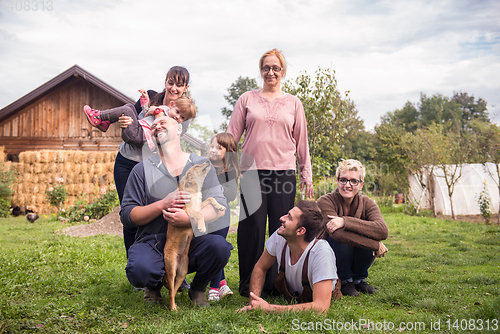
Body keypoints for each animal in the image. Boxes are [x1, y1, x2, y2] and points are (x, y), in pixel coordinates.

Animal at [163, 160, 226, 310]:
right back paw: (173, 308)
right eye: (196, 166)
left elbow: (210, 199)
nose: (208, 161)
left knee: (173, 290)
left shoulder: (200, 204)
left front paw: (219, 206)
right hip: (171, 269)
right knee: (170, 292)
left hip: (182, 273)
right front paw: (201, 226)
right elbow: (200, 214)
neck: (194, 190)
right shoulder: (186, 210)